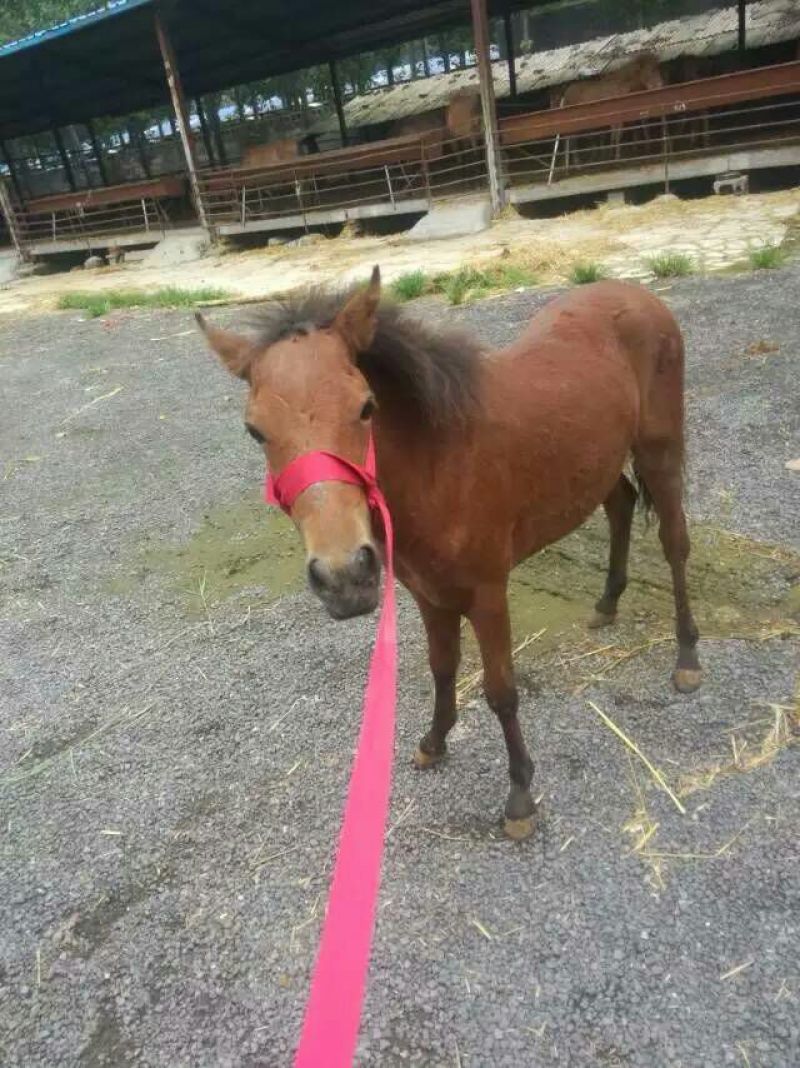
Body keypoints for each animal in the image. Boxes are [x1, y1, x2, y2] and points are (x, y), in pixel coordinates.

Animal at [196, 268, 702, 839]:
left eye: (365, 406)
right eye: (255, 430)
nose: (344, 576)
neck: (441, 464)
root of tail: (638, 293)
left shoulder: (488, 594)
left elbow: (501, 691)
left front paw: (520, 796)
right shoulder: (428, 594)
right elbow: (442, 667)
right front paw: (433, 743)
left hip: (660, 450)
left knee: (674, 544)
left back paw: (687, 658)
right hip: (598, 462)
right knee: (621, 504)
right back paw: (607, 603)